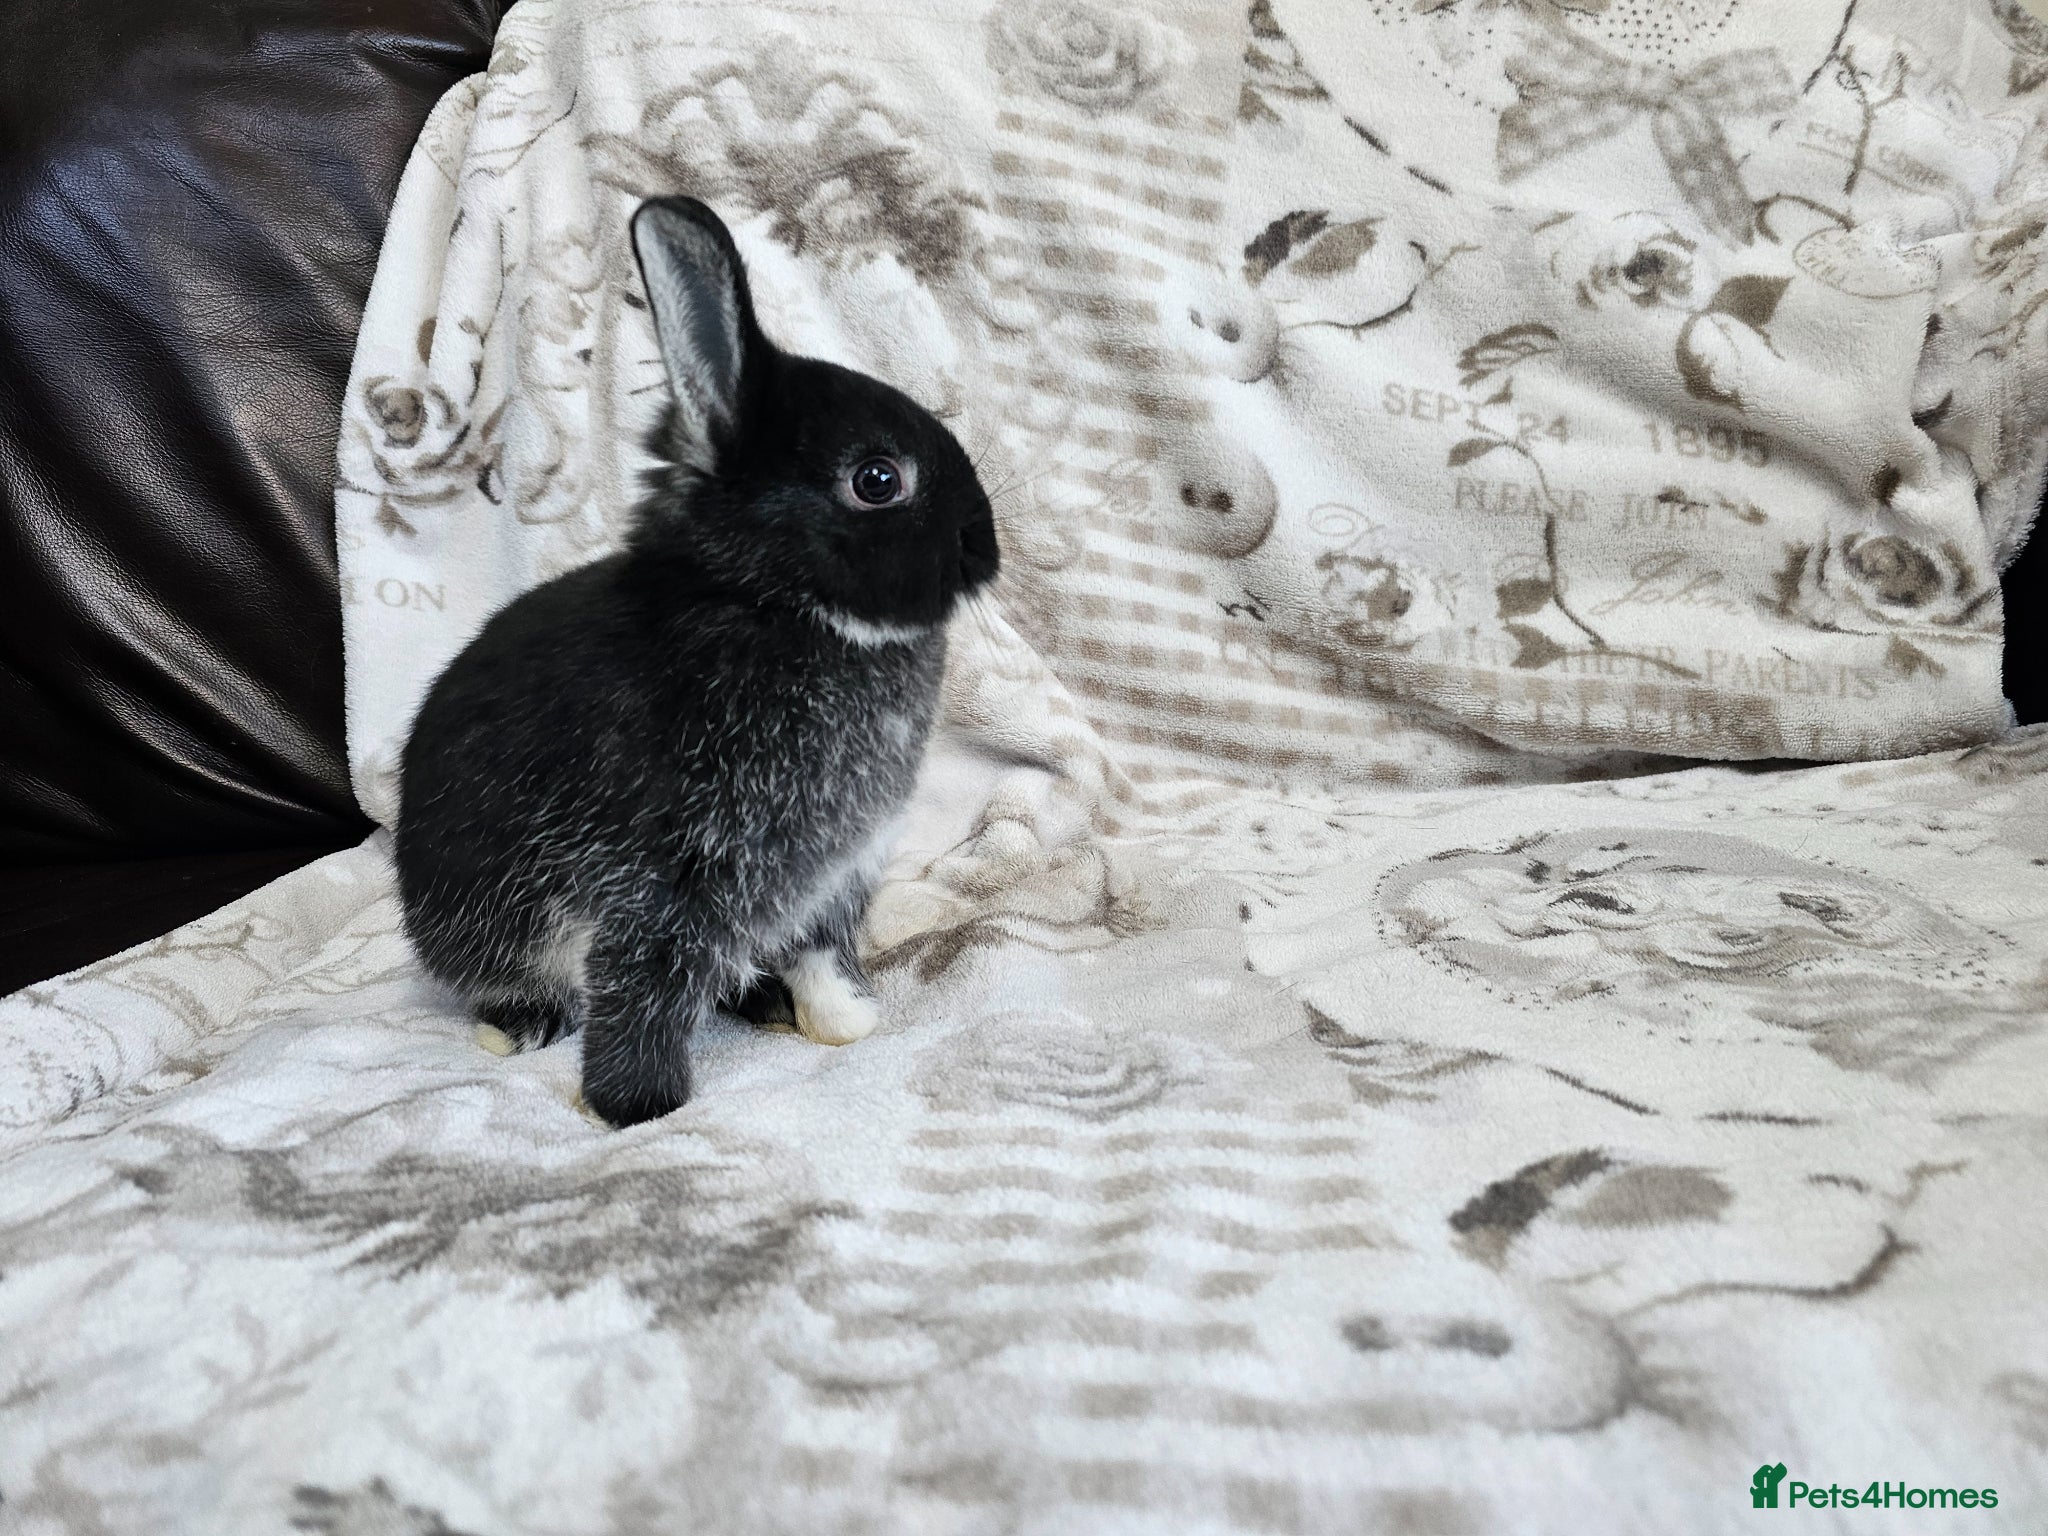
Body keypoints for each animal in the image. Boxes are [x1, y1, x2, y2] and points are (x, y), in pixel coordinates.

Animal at [394, 195, 1000, 1127]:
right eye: (877, 479)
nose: (986, 547)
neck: (776, 605)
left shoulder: (828, 881)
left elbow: (818, 954)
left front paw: (846, 1025)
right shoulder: (667, 879)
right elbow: (642, 983)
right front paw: (639, 1107)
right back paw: (518, 1028)